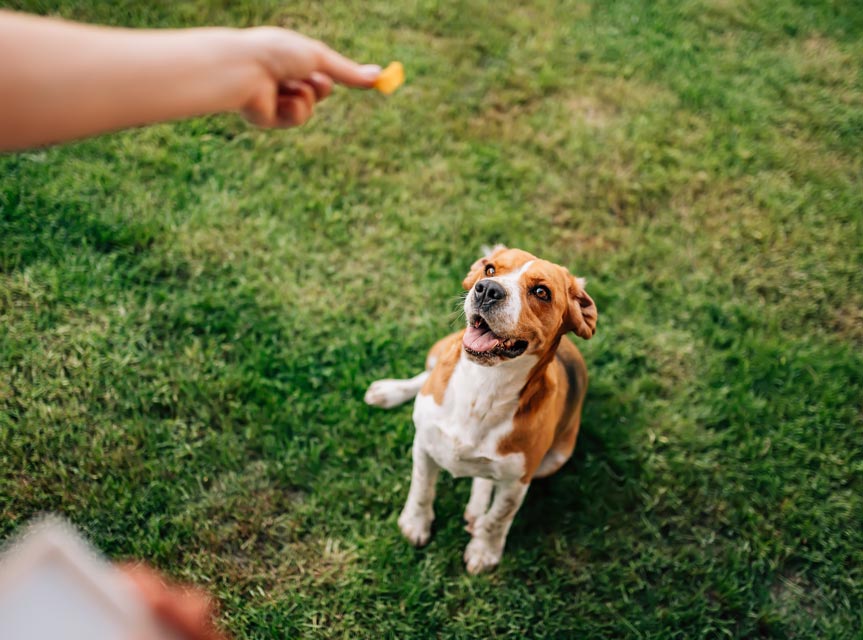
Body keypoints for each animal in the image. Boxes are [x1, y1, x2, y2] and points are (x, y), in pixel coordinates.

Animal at [362, 246, 596, 576]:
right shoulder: (424, 444)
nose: (487, 290)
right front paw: (415, 524)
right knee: (425, 376)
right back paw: (388, 392)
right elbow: (421, 489)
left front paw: (484, 551)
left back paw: (476, 512)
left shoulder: (518, 481)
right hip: (439, 352)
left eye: (541, 292)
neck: (484, 386)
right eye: (490, 270)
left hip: (555, 459)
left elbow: (499, 518)